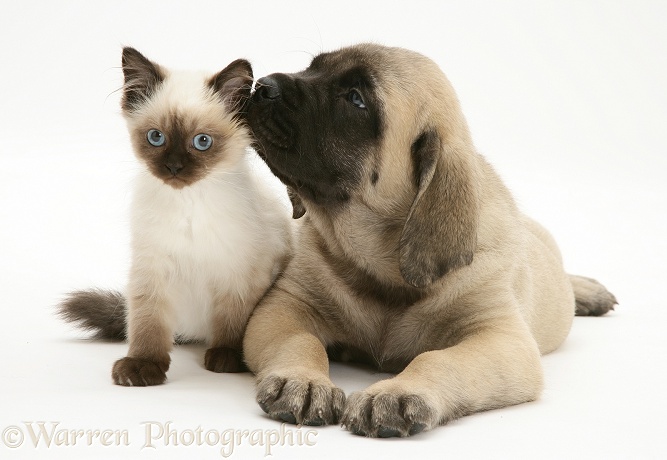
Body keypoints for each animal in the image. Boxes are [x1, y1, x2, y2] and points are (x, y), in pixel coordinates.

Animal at [58, 47, 294, 384]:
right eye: (156, 137)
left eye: (202, 142)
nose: (173, 167)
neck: (188, 204)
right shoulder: (152, 270)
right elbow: (148, 325)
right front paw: (142, 366)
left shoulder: (238, 273)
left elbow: (233, 323)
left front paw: (227, 359)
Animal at [241, 44, 616, 438]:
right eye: (313, 68)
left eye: (356, 99)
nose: (262, 85)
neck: (384, 273)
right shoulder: (285, 306)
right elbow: (300, 342)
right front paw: (302, 380)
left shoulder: (501, 337)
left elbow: (438, 360)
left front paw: (398, 392)